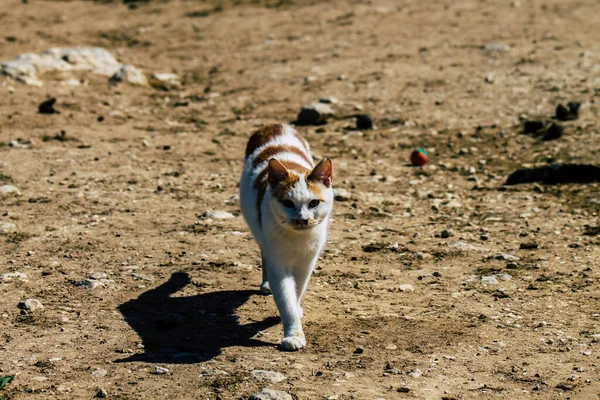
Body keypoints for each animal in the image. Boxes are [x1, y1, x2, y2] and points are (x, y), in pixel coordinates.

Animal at [239, 123, 332, 352]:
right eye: (288, 203)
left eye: (314, 203)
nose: (302, 219)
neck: (296, 238)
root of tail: (275, 125)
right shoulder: (278, 263)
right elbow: (285, 298)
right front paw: (293, 334)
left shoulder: (306, 262)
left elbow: (296, 291)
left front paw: (296, 311)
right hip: (259, 232)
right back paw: (265, 284)